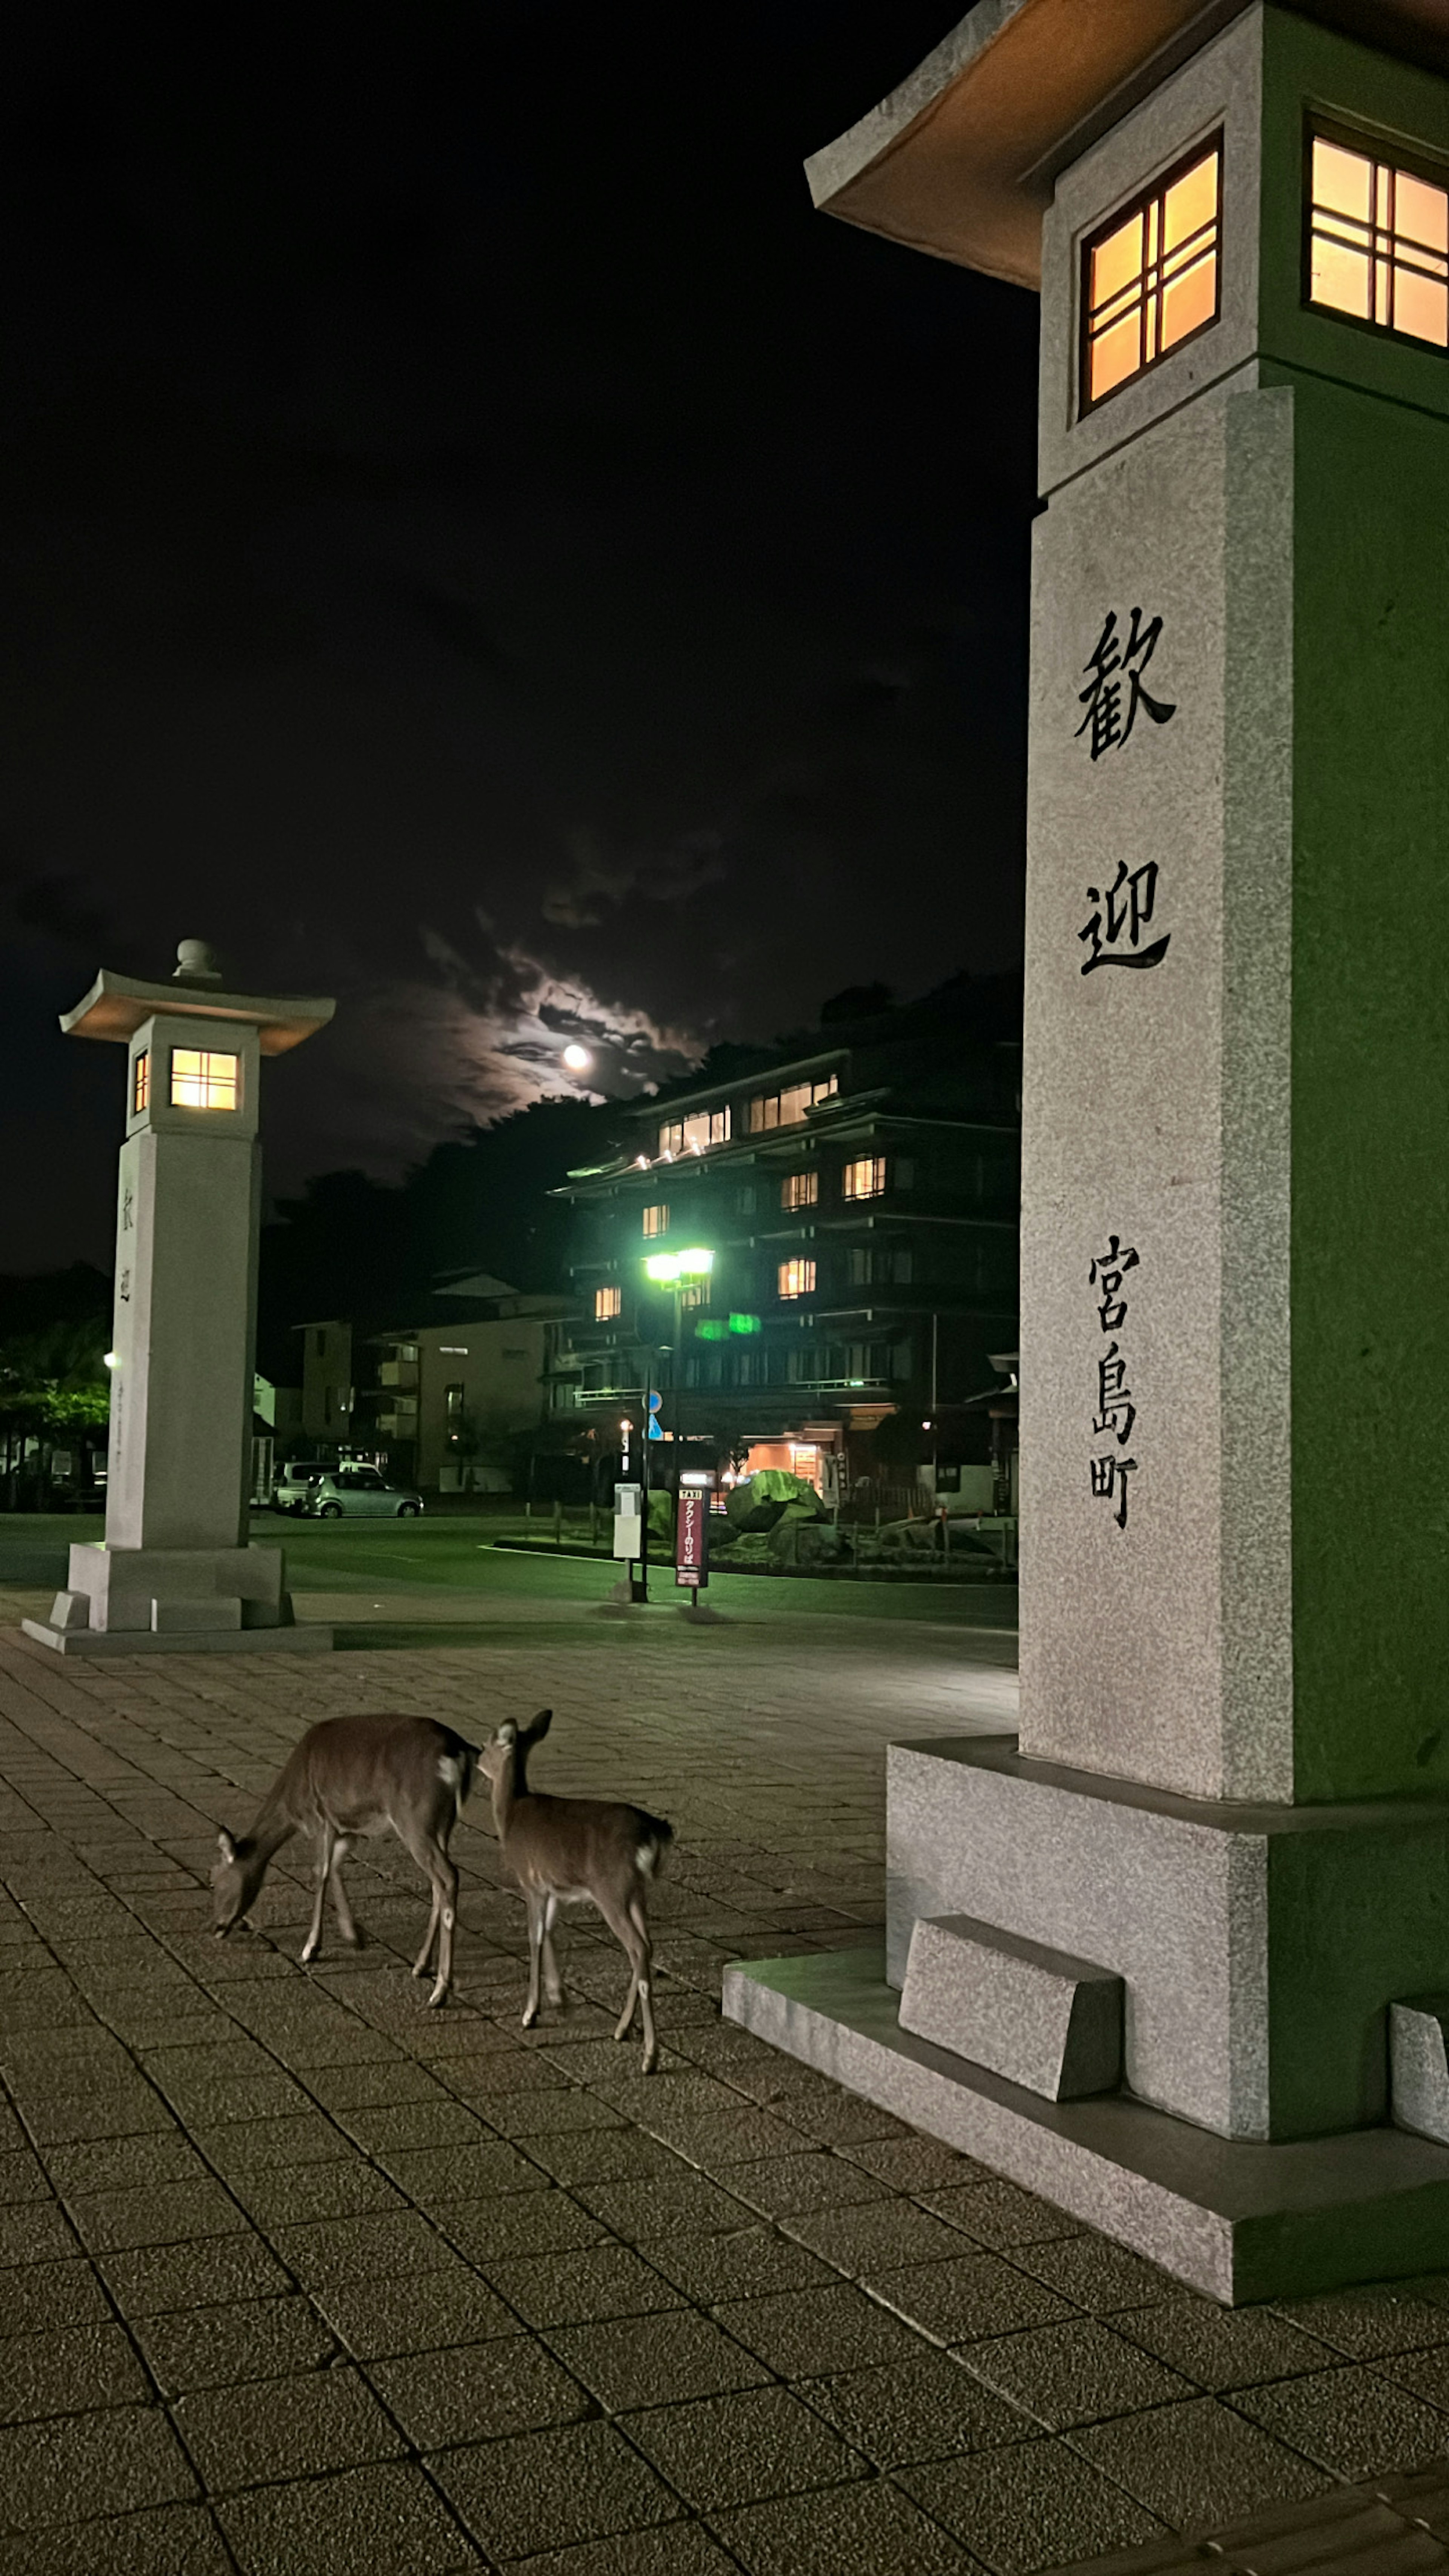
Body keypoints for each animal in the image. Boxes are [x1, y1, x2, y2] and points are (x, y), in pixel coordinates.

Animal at [209, 1710, 481, 2009]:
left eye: (215, 1880)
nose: (216, 1927)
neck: (292, 1804)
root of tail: (462, 1751)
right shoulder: (347, 1828)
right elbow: (334, 1867)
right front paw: (354, 1937)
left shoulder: (321, 1818)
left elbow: (320, 1872)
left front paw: (311, 1948)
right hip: (444, 1824)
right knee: (437, 1884)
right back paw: (421, 1966)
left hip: (414, 1819)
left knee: (448, 1876)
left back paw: (439, 1991)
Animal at [481, 1710, 674, 2071]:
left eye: (486, 1744)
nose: (476, 1759)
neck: (510, 1815)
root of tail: (654, 1832)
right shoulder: (555, 1888)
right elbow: (550, 1930)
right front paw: (560, 1999)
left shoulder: (531, 1882)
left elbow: (534, 1937)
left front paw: (530, 2013)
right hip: (637, 1892)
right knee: (648, 1946)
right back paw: (622, 2029)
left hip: (611, 1889)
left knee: (638, 1947)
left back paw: (650, 2056)